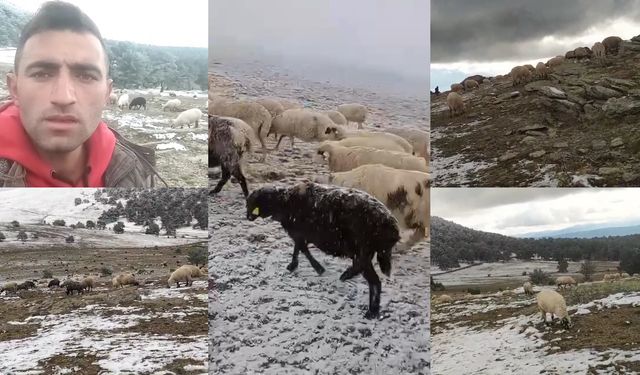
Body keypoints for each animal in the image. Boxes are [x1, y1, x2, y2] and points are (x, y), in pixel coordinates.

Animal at [246, 182, 400, 320]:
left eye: (252, 203)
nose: (248, 217)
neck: (283, 201)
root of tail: (391, 224)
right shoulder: (300, 234)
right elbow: (298, 248)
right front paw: (293, 266)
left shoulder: (298, 233)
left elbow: (302, 249)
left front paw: (317, 268)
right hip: (366, 252)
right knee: (364, 272)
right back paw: (348, 278)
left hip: (362, 251)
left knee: (373, 280)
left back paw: (370, 311)